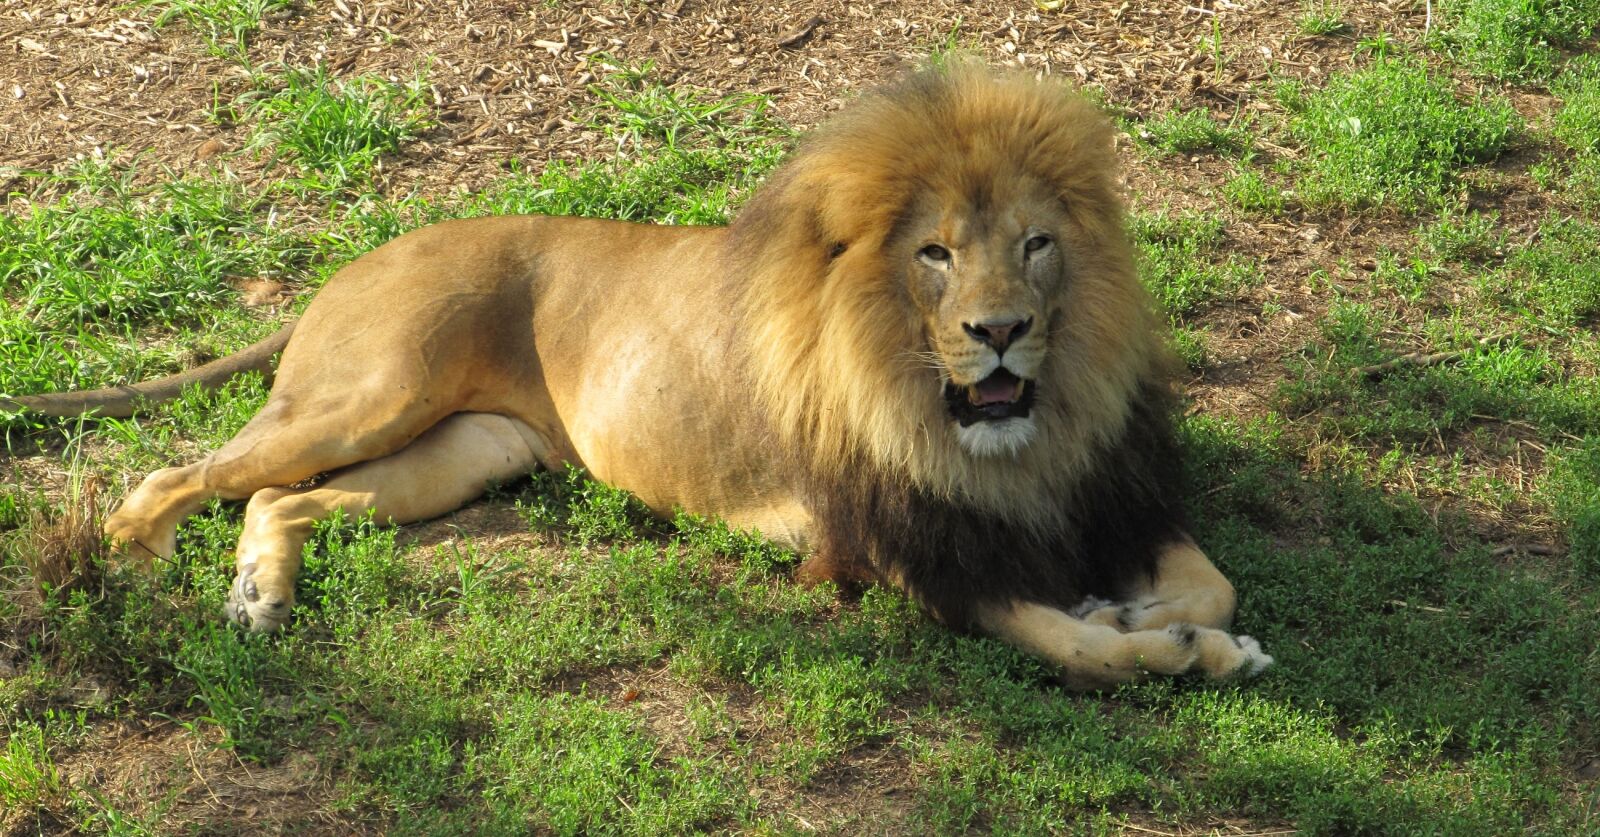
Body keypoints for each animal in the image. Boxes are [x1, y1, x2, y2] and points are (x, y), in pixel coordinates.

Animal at [7, 66, 1271, 689]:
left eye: (1036, 244)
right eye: (934, 254)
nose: (1000, 332)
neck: (1008, 433)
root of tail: (364, 251)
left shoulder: (1112, 493)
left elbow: (1211, 583)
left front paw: (1160, 612)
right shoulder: (894, 552)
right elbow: (1073, 648)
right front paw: (1164, 648)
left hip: (470, 450)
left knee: (280, 497)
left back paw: (258, 594)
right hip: (368, 393)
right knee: (169, 481)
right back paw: (136, 580)